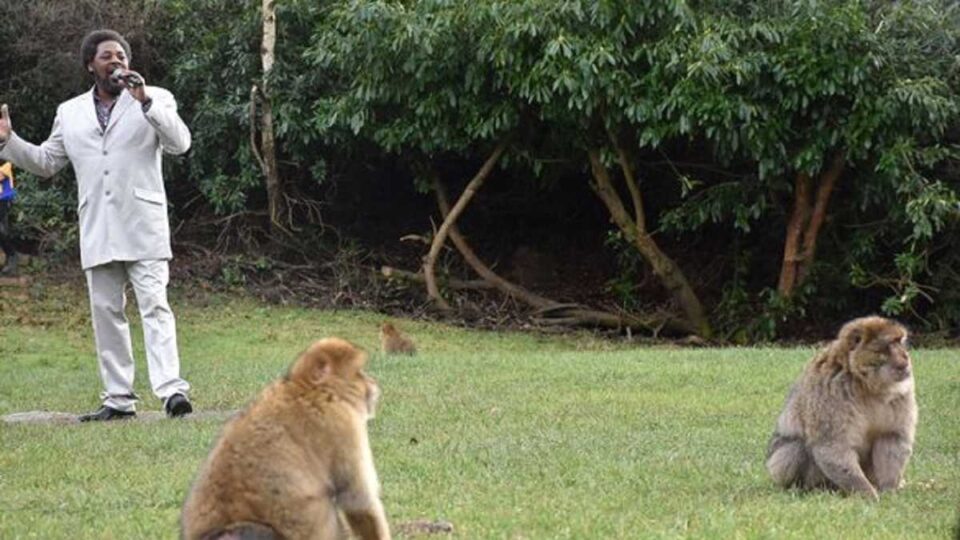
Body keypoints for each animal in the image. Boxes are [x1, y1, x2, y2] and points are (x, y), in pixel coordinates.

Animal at [764, 316, 916, 502]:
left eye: (900, 342)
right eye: (890, 344)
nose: (906, 357)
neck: (864, 383)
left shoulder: (903, 390)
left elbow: (891, 437)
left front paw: (889, 490)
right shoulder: (831, 389)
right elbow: (833, 446)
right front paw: (867, 493)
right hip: (777, 467)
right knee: (795, 449)